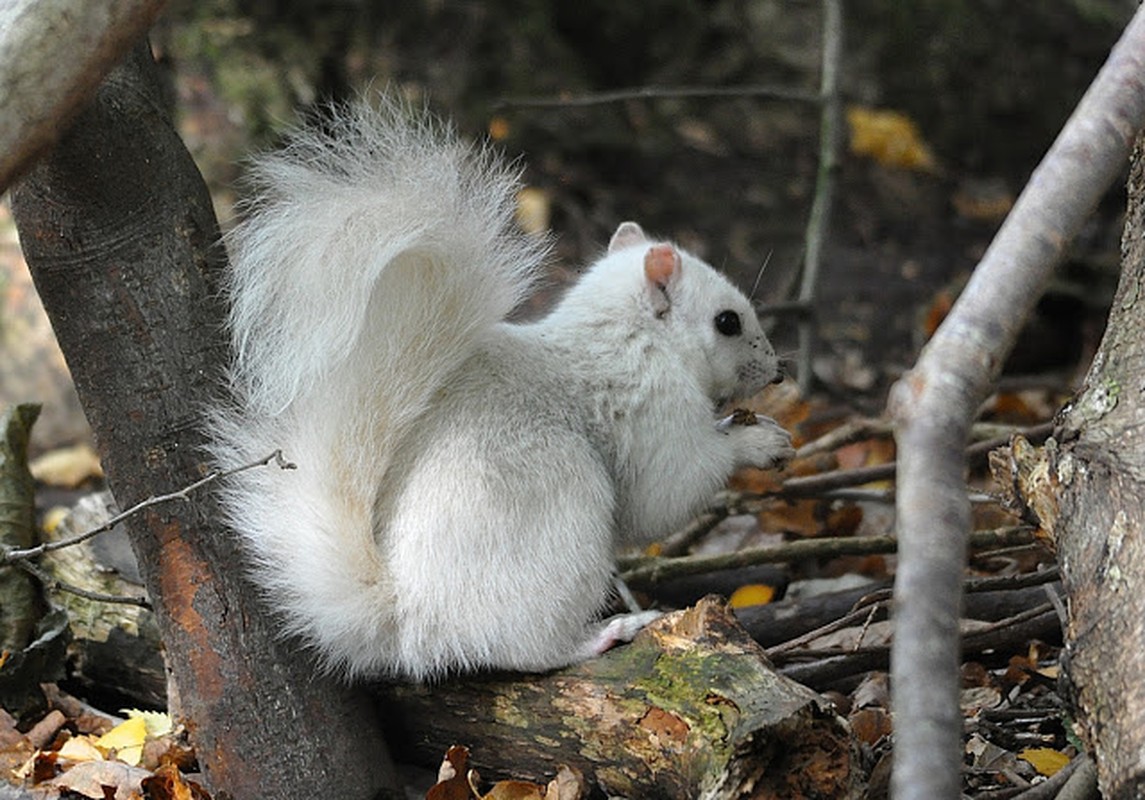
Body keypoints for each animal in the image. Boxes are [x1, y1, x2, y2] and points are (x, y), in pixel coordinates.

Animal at [208, 95, 796, 682]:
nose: (777, 373)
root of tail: (410, 620)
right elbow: (668, 492)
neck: (629, 333)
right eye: (727, 322)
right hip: (561, 517)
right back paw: (602, 633)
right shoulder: (652, 407)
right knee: (523, 649)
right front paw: (757, 441)